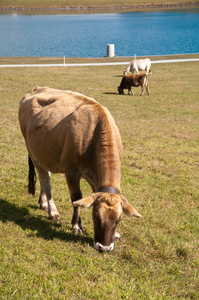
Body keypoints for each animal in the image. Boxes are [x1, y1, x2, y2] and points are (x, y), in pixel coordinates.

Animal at [17, 85, 141, 252]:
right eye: (96, 216)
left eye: (119, 219)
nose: (104, 248)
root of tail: (37, 88)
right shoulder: (71, 171)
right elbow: (76, 198)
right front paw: (76, 225)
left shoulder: (96, 178)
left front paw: (116, 234)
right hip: (33, 151)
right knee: (45, 180)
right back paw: (53, 211)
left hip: (43, 152)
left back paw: (43, 203)